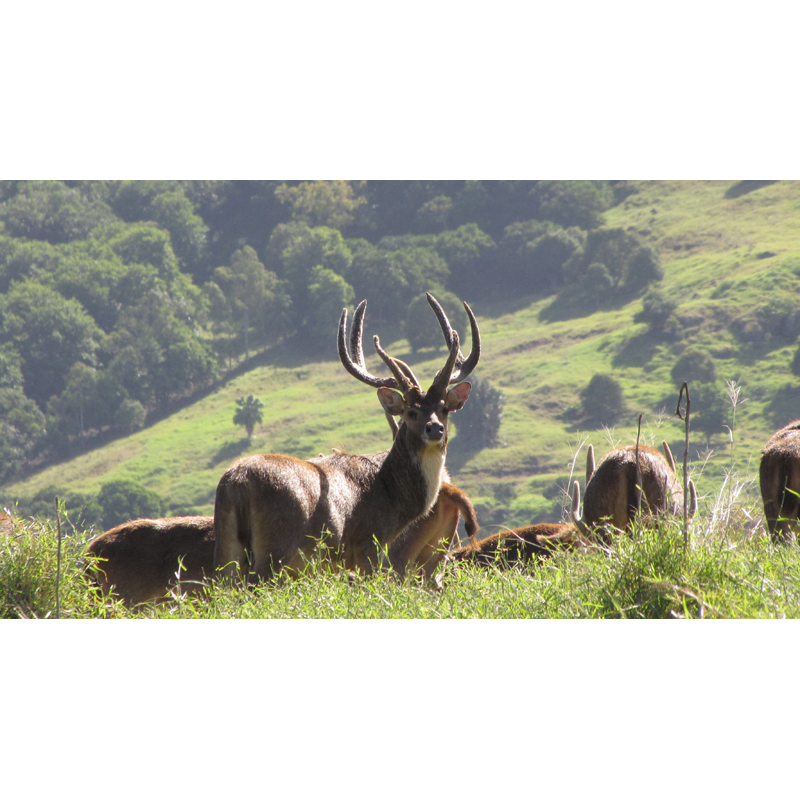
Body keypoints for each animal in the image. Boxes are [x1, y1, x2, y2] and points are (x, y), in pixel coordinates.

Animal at [209, 294, 482, 580]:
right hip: (276, 544)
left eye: (444, 409)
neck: (390, 495)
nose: (434, 429)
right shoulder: (368, 542)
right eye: (410, 411)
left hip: (226, 545)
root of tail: (237, 482)